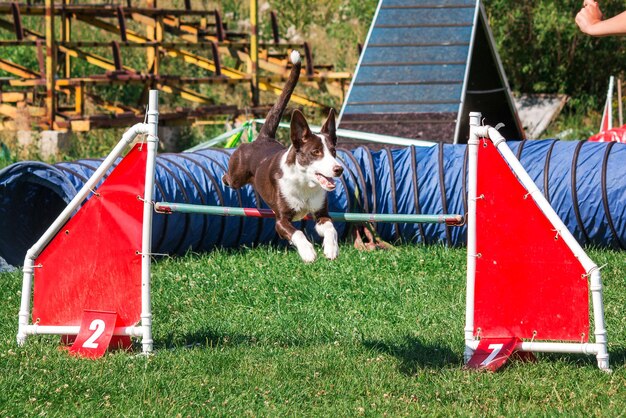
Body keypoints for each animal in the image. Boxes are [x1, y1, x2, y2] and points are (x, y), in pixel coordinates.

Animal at [222, 51, 344, 262]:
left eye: (333, 151)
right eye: (315, 152)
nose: (339, 169)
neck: (304, 183)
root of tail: (263, 138)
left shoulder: (321, 213)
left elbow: (330, 228)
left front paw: (331, 249)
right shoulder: (281, 221)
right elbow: (298, 233)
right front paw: (308, 253)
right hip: (236, 175)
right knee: (227, 177)